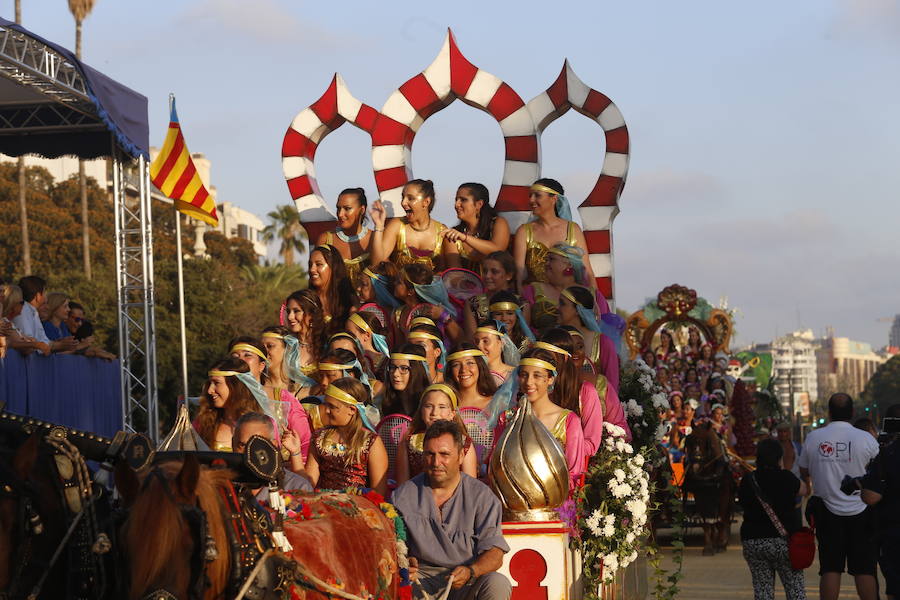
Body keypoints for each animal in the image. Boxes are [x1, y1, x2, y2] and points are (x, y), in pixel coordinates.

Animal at [684, 422, 736, 552]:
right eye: (689, 440)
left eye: (706, 442)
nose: (696, 464)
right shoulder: (700, 495)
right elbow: (706, 522)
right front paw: (708, 546)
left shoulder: (723, 494)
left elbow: (721, 519)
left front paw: (721, 543)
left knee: (725, 518)